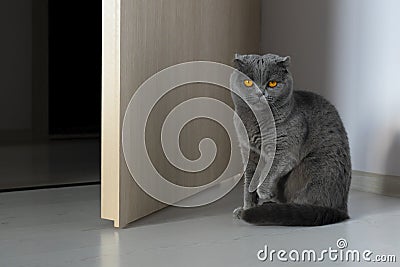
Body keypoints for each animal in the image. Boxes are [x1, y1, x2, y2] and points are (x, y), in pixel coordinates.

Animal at [231, 54, 350, 226]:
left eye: (272, 83)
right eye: (248, 82)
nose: (260, 93)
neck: (257, 121)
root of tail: (342, 208)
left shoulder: (285, 150)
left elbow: (269, 171)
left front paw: (262, 193)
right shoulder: (249, 152)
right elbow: (248, 184)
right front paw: (247, 208)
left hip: (313, 167)